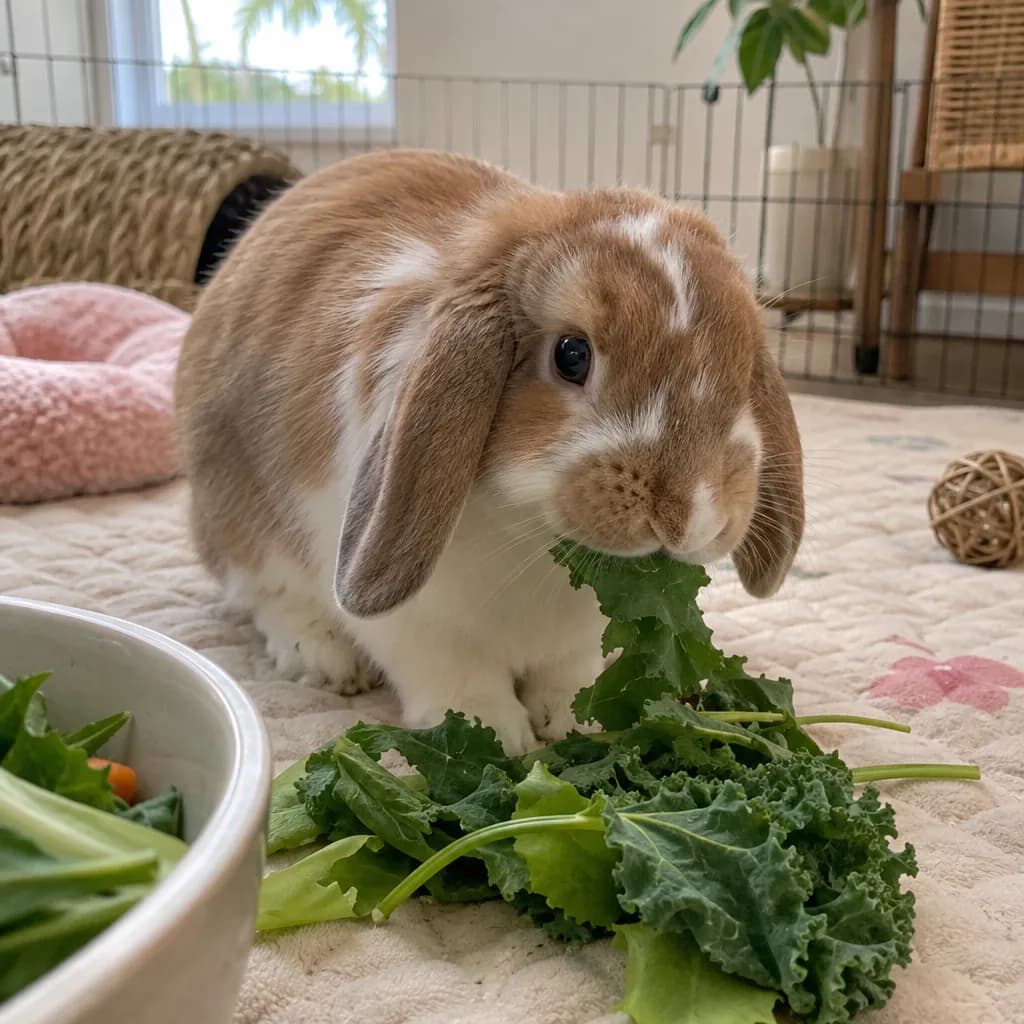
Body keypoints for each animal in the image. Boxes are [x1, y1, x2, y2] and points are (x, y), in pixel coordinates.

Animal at [174, 148, 804, 756]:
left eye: (742, 369)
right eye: (571, 355)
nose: (687, 518)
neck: (531, 541)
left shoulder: (574, 643)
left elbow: (567, 677)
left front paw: (576, 721)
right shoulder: (417, 624)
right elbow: (454, 677)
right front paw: (493, 732)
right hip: (238, 521)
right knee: (261, 591)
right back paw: (322, 657)